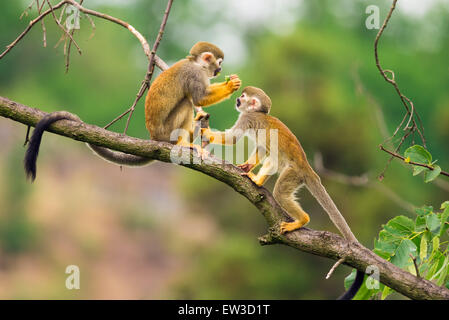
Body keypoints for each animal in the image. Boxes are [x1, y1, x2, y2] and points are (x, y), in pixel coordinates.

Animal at [23, 41, 242, 180]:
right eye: (218, 63)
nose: (220, 70)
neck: (196, 64)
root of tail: (154, 138)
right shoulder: (194, 74)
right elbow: (199, 97)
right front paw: (231, 85)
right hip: (166, 131)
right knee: (186, 102)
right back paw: (182, 141)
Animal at [200, 86, 364, 298]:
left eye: (243, 97)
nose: (237, 100)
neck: (259, 113)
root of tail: (307, 167)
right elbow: (261, 148)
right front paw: (247, 167)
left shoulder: (247, 118)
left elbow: (234, 139)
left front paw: (207, 131)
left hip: (293, 173)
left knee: (279, 183)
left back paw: (301, 219)